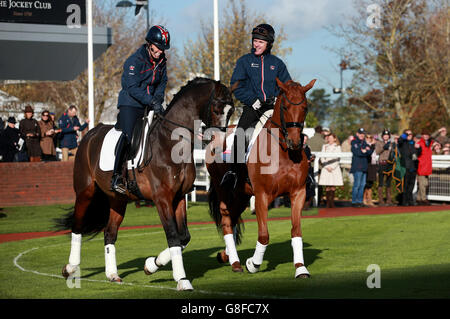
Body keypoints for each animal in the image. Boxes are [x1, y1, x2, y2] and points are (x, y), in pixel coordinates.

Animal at [56, 78, 234, 292]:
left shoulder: (179, 197)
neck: (172, 142)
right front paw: (182, 279)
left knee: (109, 233)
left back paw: (112, 274)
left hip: (118, 200)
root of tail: (89, 135)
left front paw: (151, 265)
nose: (220, 145)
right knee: (77, 226)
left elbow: (183, 237)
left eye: (231, 111)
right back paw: (70, 268)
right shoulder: (162, 199)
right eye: (216, 109)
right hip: (85, 192)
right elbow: (173, 236)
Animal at [205, 77, 314, 278]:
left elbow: (296, 231)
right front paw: (253, 264)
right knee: (226, 220)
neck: (283, 152)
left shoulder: (298, 193)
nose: (295, 142)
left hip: (241, 195)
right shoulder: (262, 195)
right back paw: (235, 262)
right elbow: (264, 235)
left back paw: (226, 255)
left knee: (233, 217)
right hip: (224, 189)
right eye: (285, 106)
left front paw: (300, 267)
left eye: (305, 107)